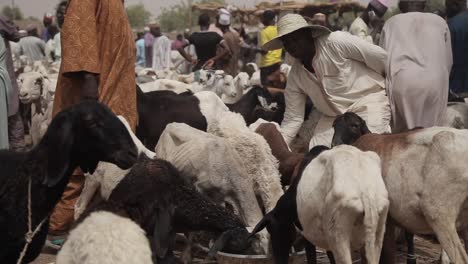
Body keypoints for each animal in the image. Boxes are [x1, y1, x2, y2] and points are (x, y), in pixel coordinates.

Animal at [250, 145, 390, 264]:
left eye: (271, 229)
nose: (280, 259)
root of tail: (366, 191)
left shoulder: (309, 235)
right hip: (378, 232)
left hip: (339, 237)